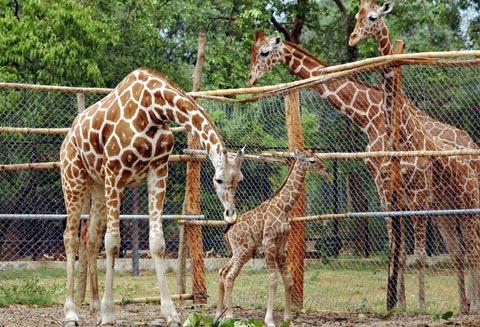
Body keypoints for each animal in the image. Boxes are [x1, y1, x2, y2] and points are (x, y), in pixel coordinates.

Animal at [217, 150, 326, 326]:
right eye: (312, 161)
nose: (325, 169)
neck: (284, 206)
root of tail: (227, 232)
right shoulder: (269, 243)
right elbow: (272, 281)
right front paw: (269, 320)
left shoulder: (282, 246)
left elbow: (288, 280)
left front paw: (288, 320)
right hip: (243, 250)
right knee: (229, 276)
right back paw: (230, 316)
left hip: (241, 251)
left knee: (223, 271)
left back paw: (218, 315)